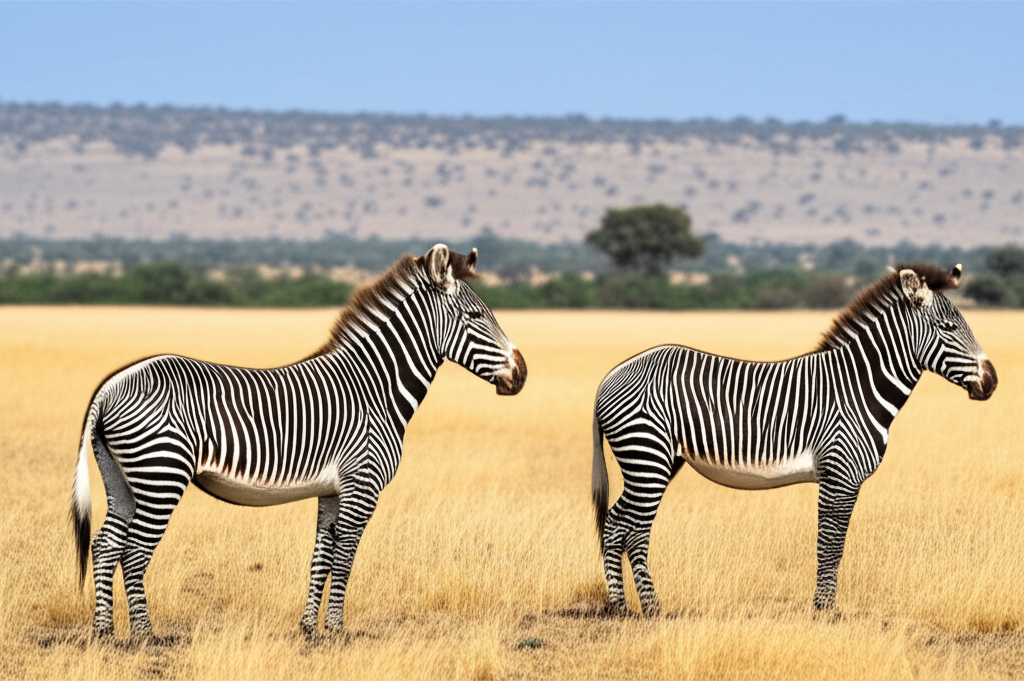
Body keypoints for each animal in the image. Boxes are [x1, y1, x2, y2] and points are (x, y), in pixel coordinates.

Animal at [70, 244, 527, 639]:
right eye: (475, 316)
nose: (521, 374)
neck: (375, 389)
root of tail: (109, 387)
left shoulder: (333, 490)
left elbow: (321, 558)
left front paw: (310, 629)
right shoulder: (362, 485)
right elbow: (344, 559)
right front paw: (337, 631)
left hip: (122, 478)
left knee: (106, 545)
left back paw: (105, 631)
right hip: (161, 474)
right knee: (133, 552)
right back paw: (145, 635)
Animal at [591, 263, 997, 616]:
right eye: (948, 328)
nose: (991, 382)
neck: (858, 388)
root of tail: (610, 376)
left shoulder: (844, 480)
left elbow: (834, 545)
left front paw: (824, 607)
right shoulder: (840, 476)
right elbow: (831, 545)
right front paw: (825, 611)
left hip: (657, 461)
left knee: (616, 526)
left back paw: (621, 607)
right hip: (647, 457)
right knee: (630, 531)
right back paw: (651, 609)